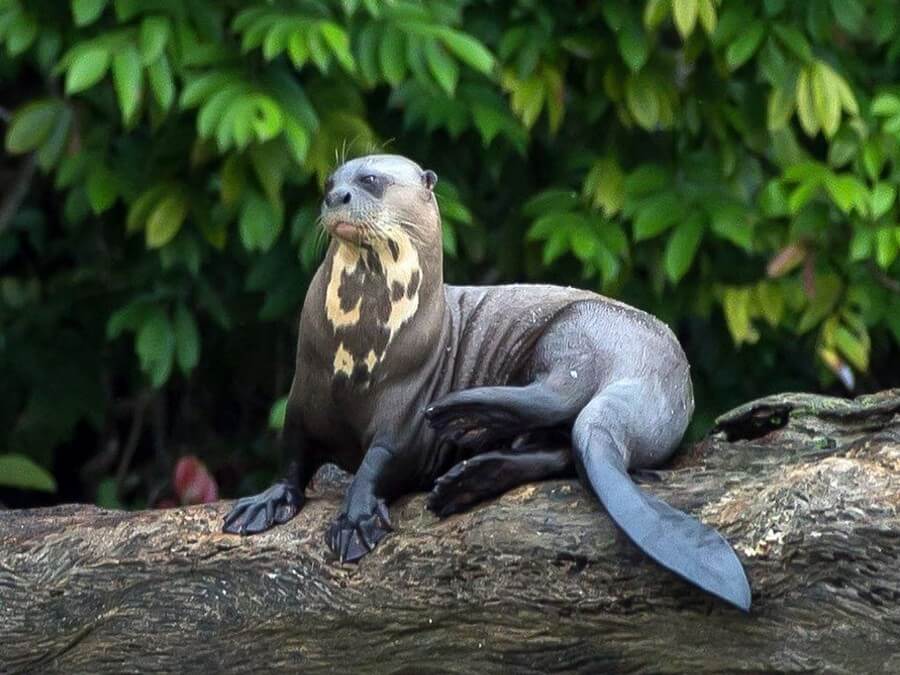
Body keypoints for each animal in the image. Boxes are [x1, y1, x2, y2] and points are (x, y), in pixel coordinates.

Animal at [225, 154, 752, 612]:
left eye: (371, 180)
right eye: (329, 180)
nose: (337, 196)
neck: (356, 352)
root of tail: (665, 375)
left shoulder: (405, 408)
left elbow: (382, 456)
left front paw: (355, 519)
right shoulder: (304, 395)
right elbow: (292, 455)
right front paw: (265, 502)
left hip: (579, 329)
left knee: (560, 398)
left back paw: (462, 419)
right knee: (564, 446)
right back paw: (471, 474)